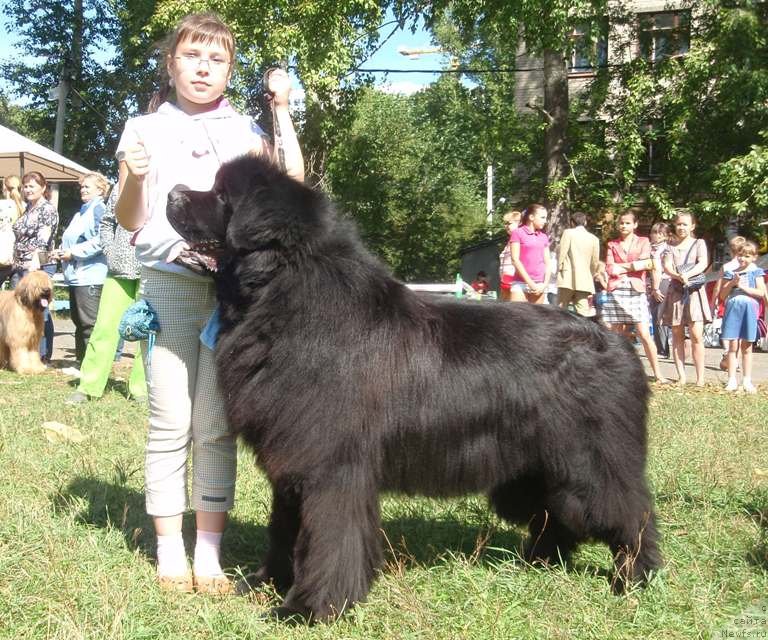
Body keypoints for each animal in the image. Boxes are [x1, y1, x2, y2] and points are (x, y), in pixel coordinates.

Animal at [168, 155, 660, 620]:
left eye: (221, 195)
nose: (173, 192)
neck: (282, 298)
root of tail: (617, 342)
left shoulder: (330, 465)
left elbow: (328, 537)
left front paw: (310, 608)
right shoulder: (291, 460)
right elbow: (285, 527)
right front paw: (267, 581)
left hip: (591, 460)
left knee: (628, 511)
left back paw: (634, 577)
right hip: (536, 468)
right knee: (557, 513)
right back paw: (540, 561)